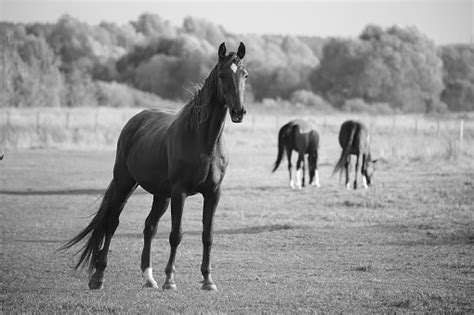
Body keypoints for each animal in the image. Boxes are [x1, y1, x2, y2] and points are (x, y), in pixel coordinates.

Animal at [61, 42, 250, 294]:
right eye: (222, 75)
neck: (203, 142)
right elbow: (176, 235)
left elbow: (207, 235)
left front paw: (208, 280)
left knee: (149, 227)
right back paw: (98, 277)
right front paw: (170, 279)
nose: (238, 112)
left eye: (244, 75)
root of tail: (135, 121)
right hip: (125, 183)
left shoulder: (213, 193)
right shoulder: (180, 192)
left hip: (161, 195)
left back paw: (148, 277)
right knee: (112, 223)